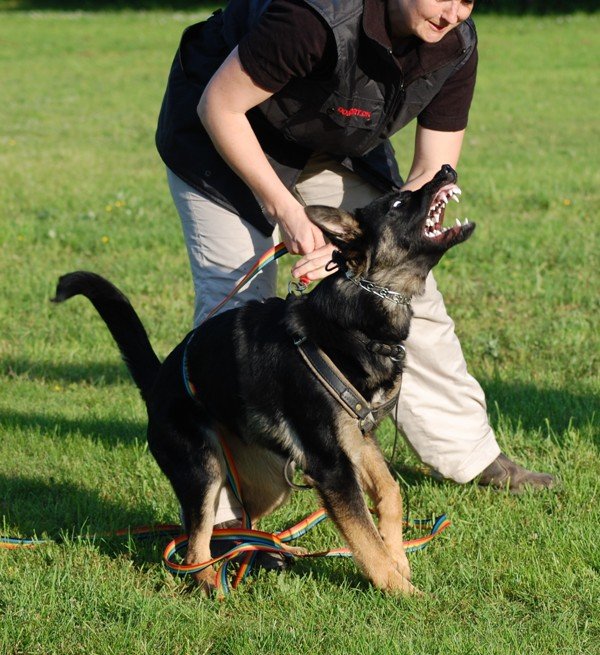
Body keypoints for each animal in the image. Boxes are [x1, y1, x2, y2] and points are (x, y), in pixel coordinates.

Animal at [53, 164, 474, 595]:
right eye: (398, 203)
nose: (445, 168)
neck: (358, 317)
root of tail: (157, 381)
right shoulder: (333, 468)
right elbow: (364, 536)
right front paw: (401, 590)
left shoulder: (359, 441)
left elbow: (390, 491)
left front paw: (399, 557)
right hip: (204, 471)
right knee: (196, 543)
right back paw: (211, 582)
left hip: (268, 484)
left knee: (229, 525)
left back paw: (254, 554)